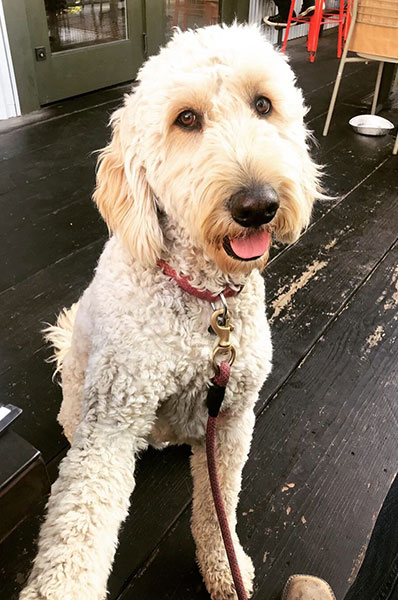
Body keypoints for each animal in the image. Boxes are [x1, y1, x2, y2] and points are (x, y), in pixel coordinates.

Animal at [20, 22, 322, 600]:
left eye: (264, 105)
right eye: (186, 119)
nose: (258, 205)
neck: (204, 303)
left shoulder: (233, 419)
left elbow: (218, 502)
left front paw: (224, 565)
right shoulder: (111, 425)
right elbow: (79, 528)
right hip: (80, 403)